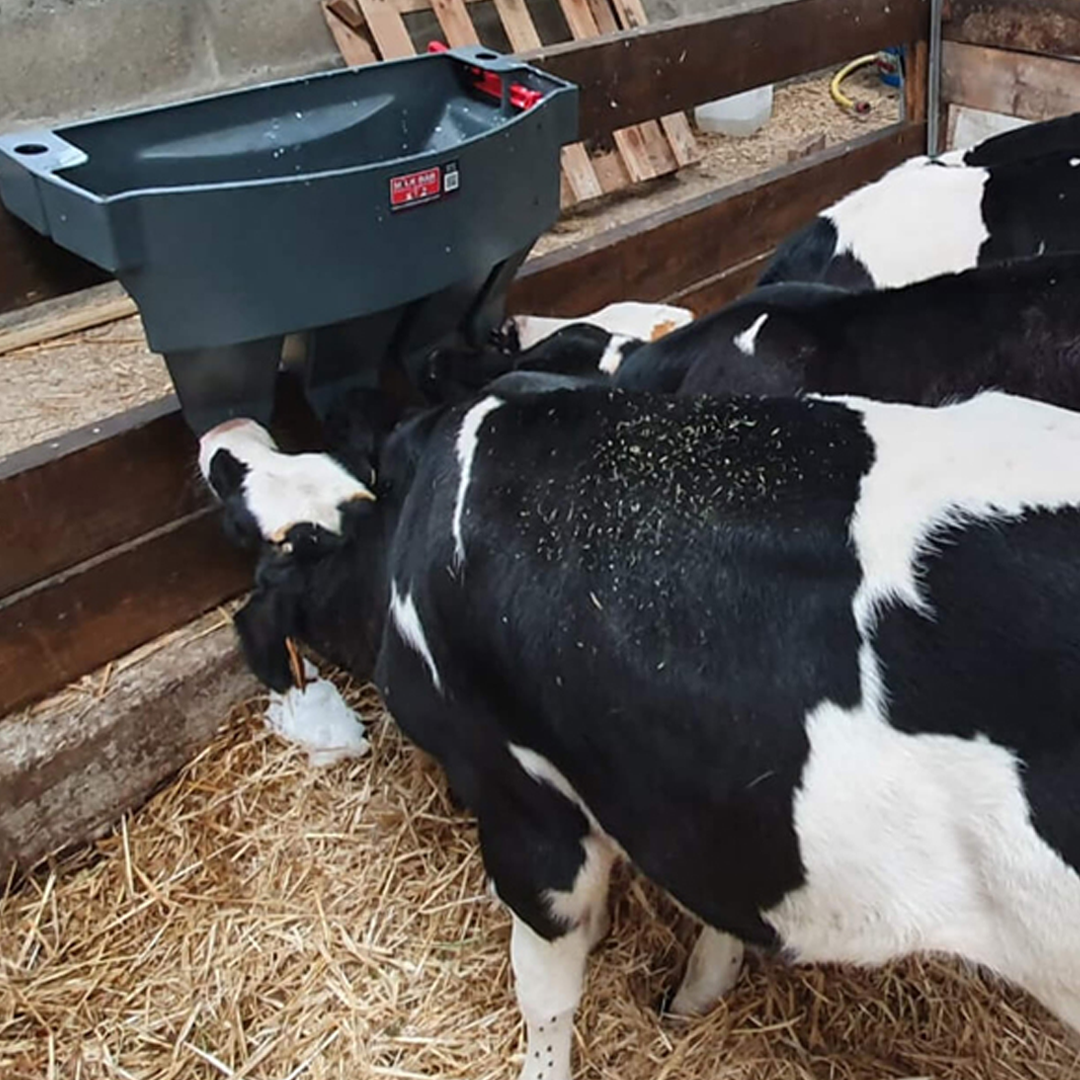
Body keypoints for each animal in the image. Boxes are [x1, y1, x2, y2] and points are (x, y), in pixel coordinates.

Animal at [201, 381, 1080, 1079]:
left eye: (260, 537)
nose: (223, 434)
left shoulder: (524, 808)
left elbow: (545, 990)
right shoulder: (698, 795)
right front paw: (696, 991)